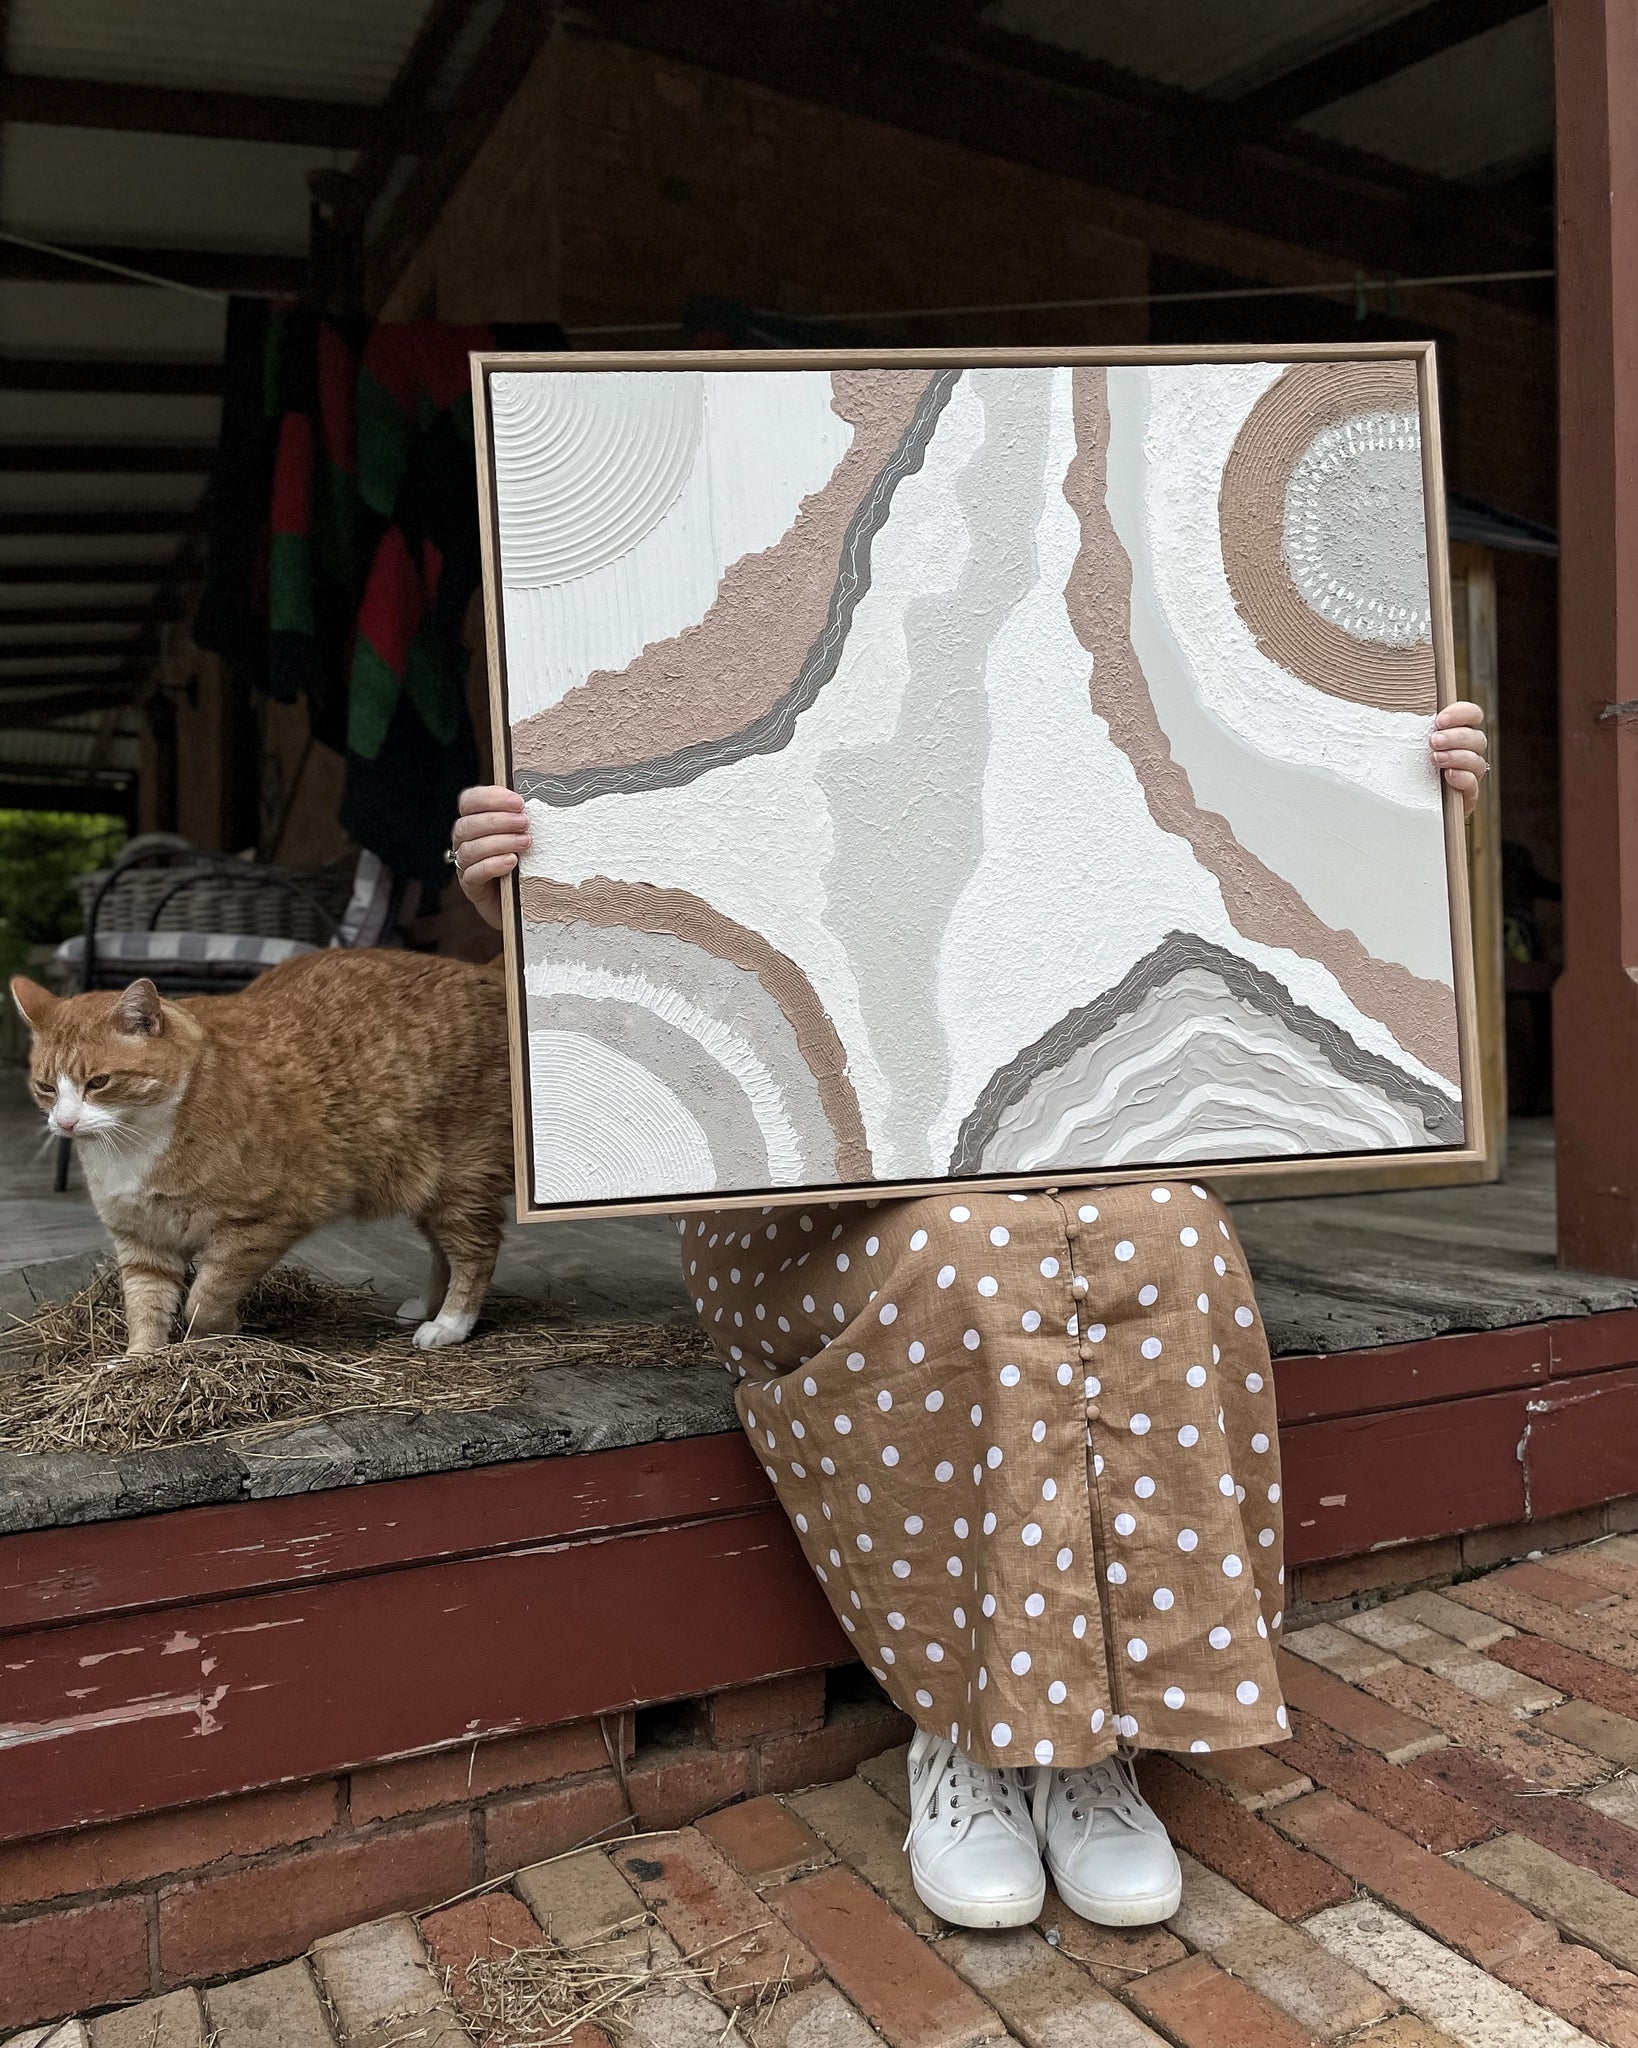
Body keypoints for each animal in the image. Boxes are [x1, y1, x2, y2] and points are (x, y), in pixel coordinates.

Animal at [9, 954, 511, 1359]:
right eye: (46, 1088)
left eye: (98, 1083)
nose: (65, 1124)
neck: (133, 1143)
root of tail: (484, 970)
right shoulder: (143, 1241)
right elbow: (146, 1307)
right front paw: (141, 1363)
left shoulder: (260, 1225)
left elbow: (205, 1300)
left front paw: (221, 1333)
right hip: (426, 1188)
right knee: (442, 1253)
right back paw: (426, 1307)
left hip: (462, 1181)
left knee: (476, 1253)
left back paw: (449, 1324)